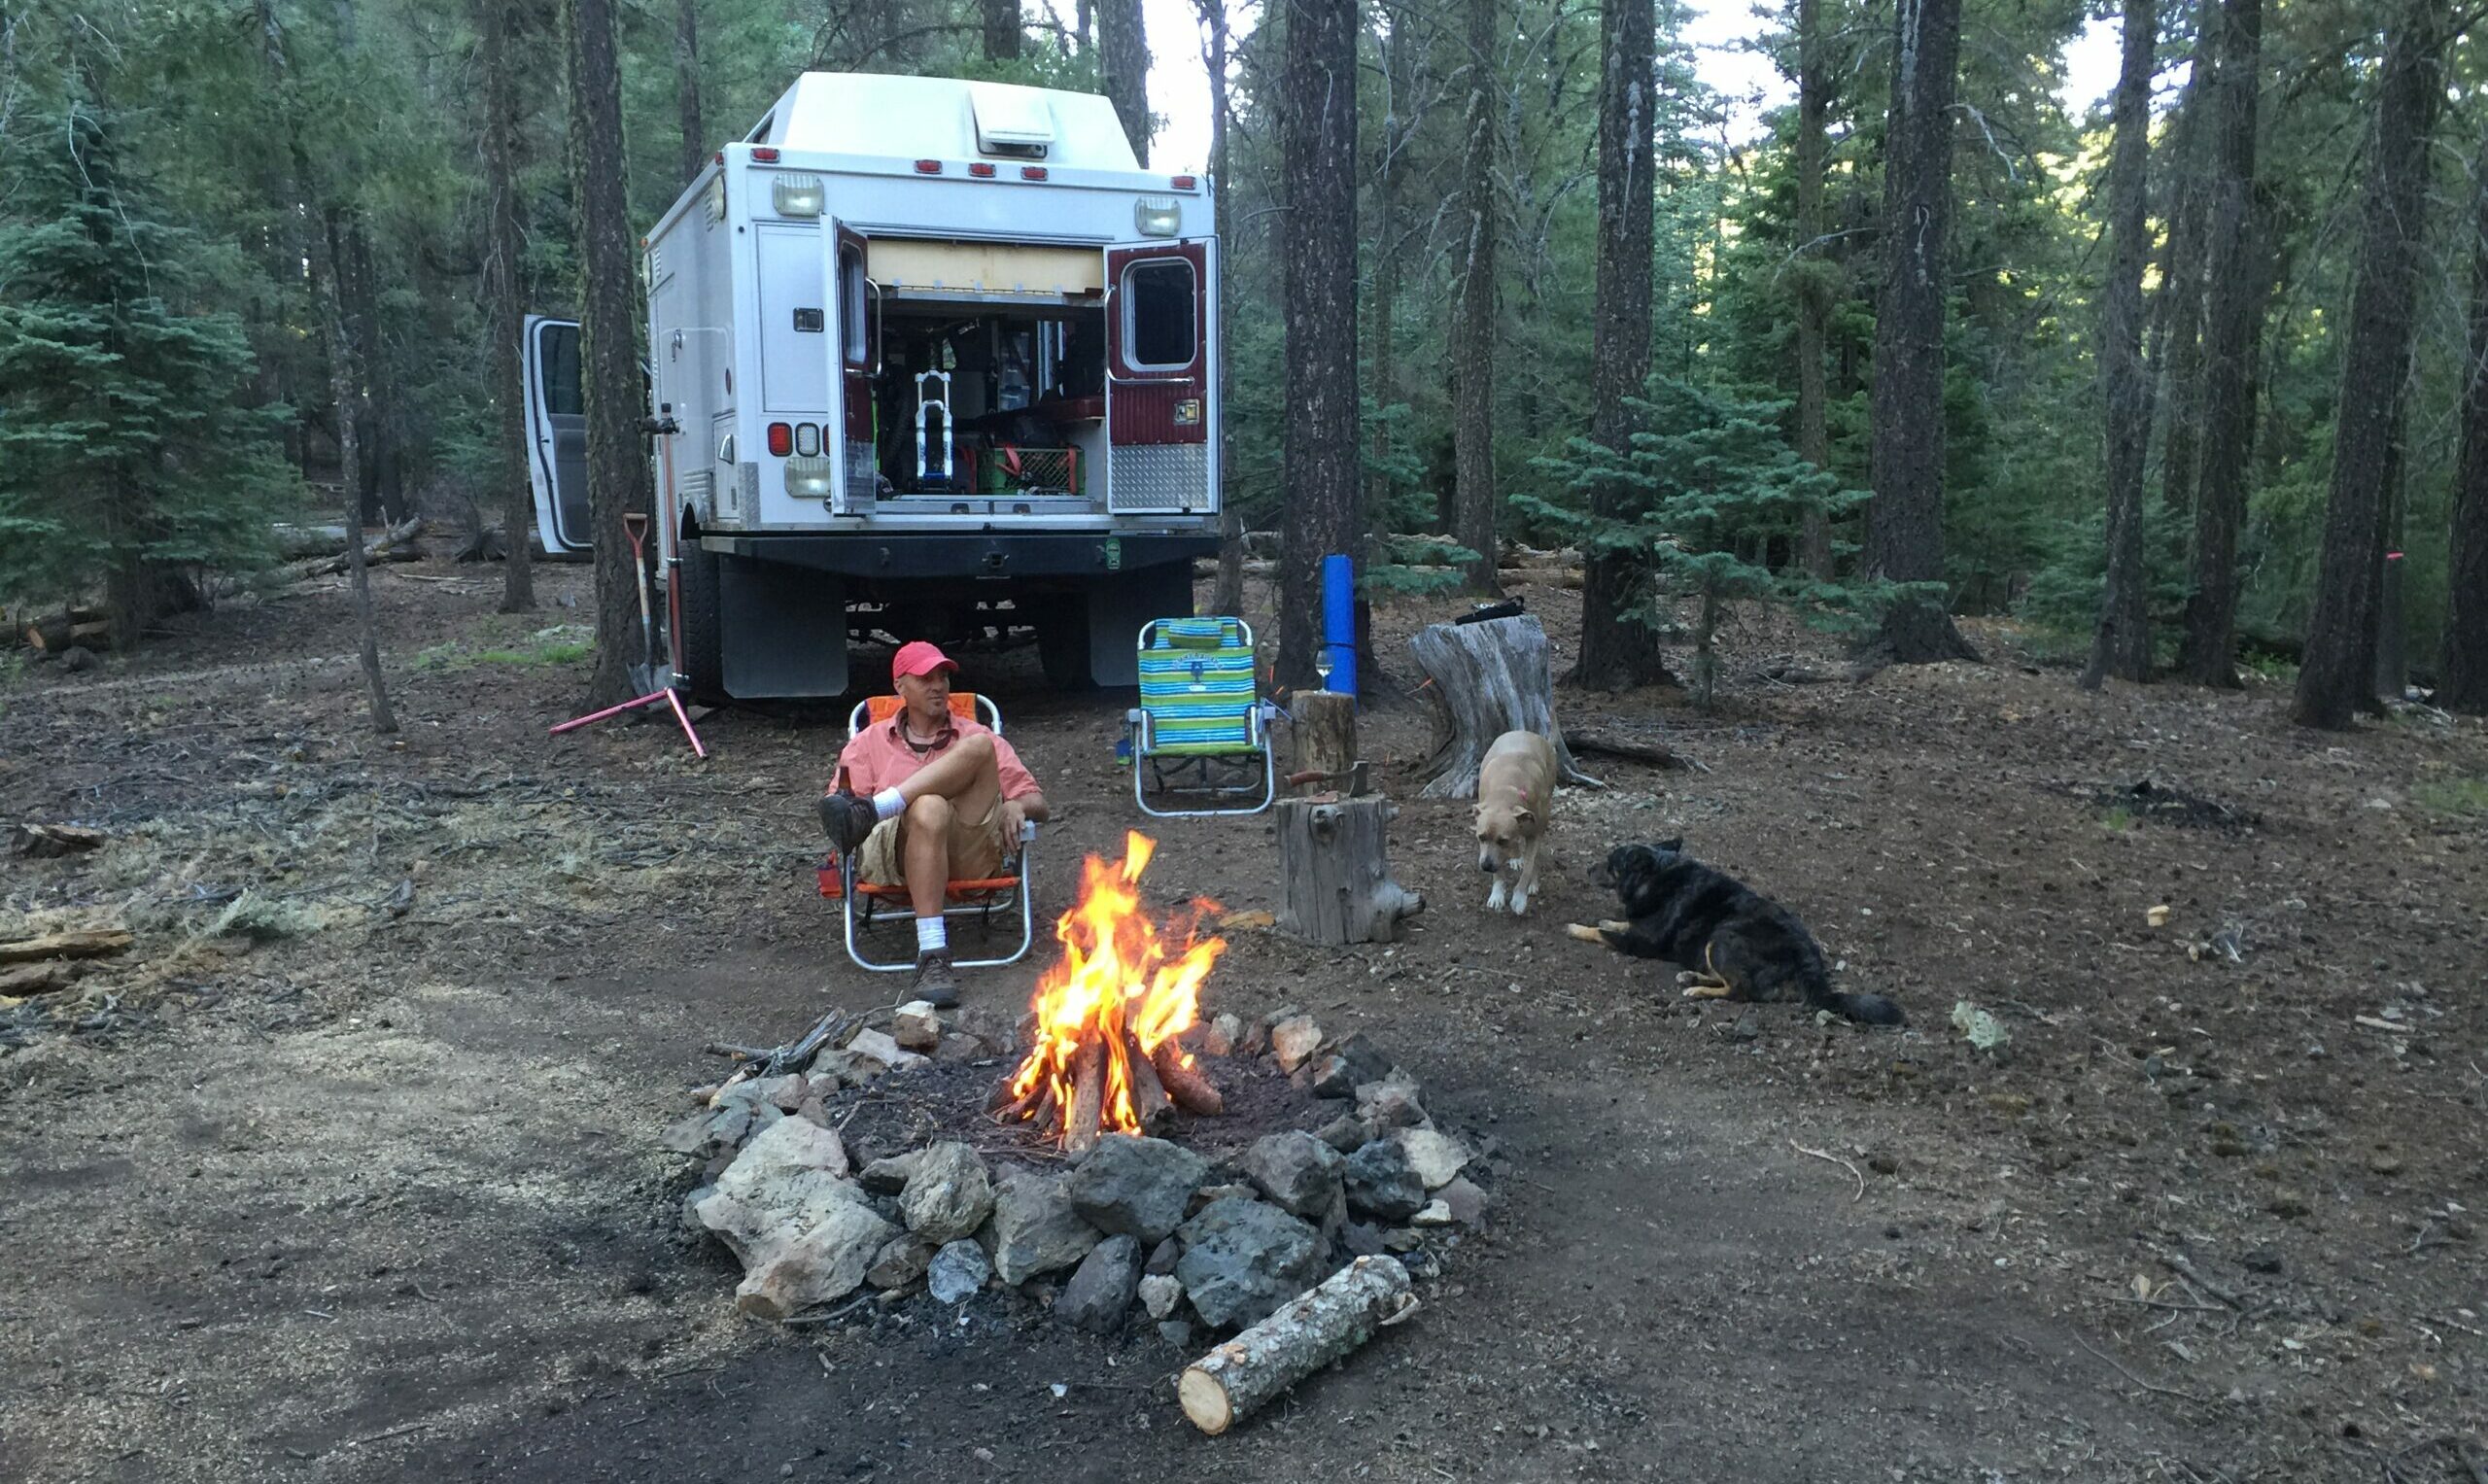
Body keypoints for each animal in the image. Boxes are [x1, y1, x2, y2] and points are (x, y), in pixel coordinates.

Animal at [1473, 730, 1557, 916]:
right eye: (1481, 837)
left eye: (1503, 840)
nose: (1486, 866)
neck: (1506, 790)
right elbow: (1499, 870)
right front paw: (1497, 894)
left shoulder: (1535, 834)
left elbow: (1529, 865)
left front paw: (1519, 897)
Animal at [1565, 840, 1904, 1026]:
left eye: (1610, 862)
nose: (1586, 869)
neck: (1655, 876)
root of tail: (1809, 961)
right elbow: (1615, 924)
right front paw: (1610, 921)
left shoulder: (1642, 942)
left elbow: (1601, 933)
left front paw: (1578, 928)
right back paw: (1691, 977)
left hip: (1723, 936)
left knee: (1741, 990)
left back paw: (1697, 990)